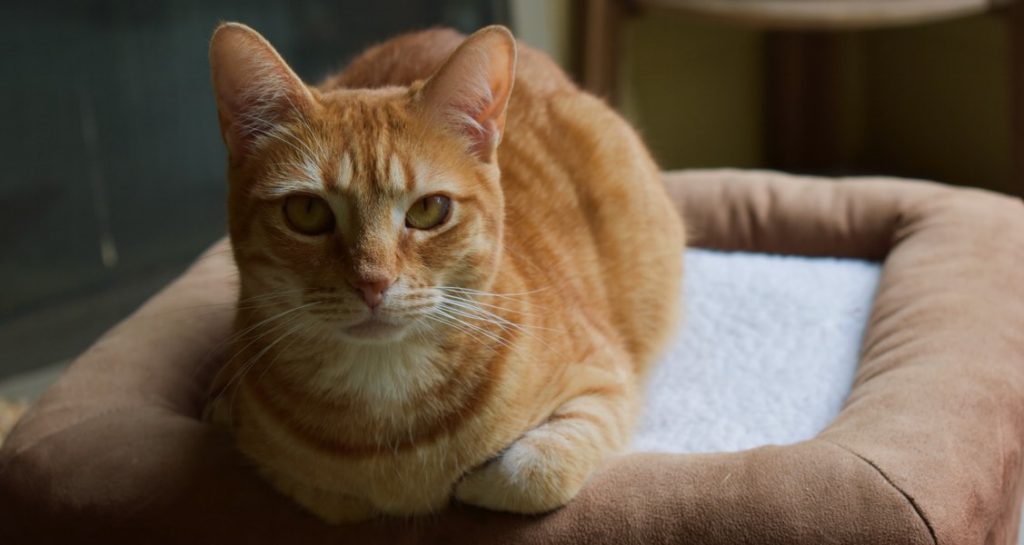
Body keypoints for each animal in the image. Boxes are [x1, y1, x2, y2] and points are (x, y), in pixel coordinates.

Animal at [203, 22, 684, 524]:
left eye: (429, 209)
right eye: (307, 211)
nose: (373, 282)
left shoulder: (607, 379)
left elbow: (531, 475)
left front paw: (470, 484)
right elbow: (331, 494)